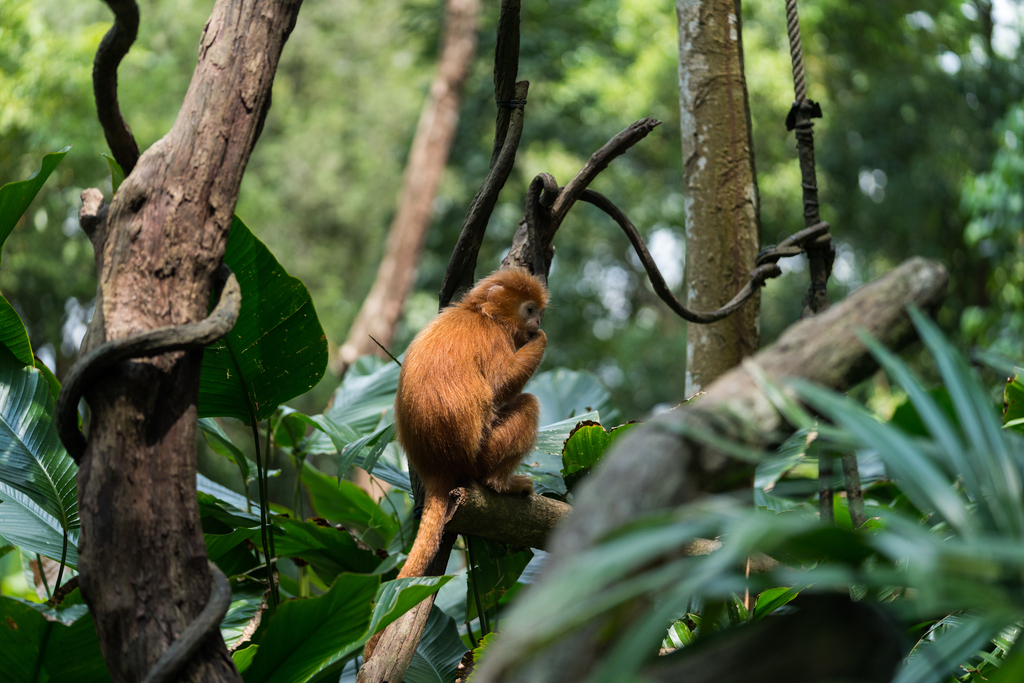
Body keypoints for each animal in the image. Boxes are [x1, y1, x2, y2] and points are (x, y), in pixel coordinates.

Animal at [364, 268, 548, 663]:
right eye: (529, 310)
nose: (539, 322)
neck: (480, 313)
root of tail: (437, 470)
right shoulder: (494, 337)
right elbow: (500, 383)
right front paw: (540, 339)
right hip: (481, 454)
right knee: (527, 404)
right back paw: (500, 482)